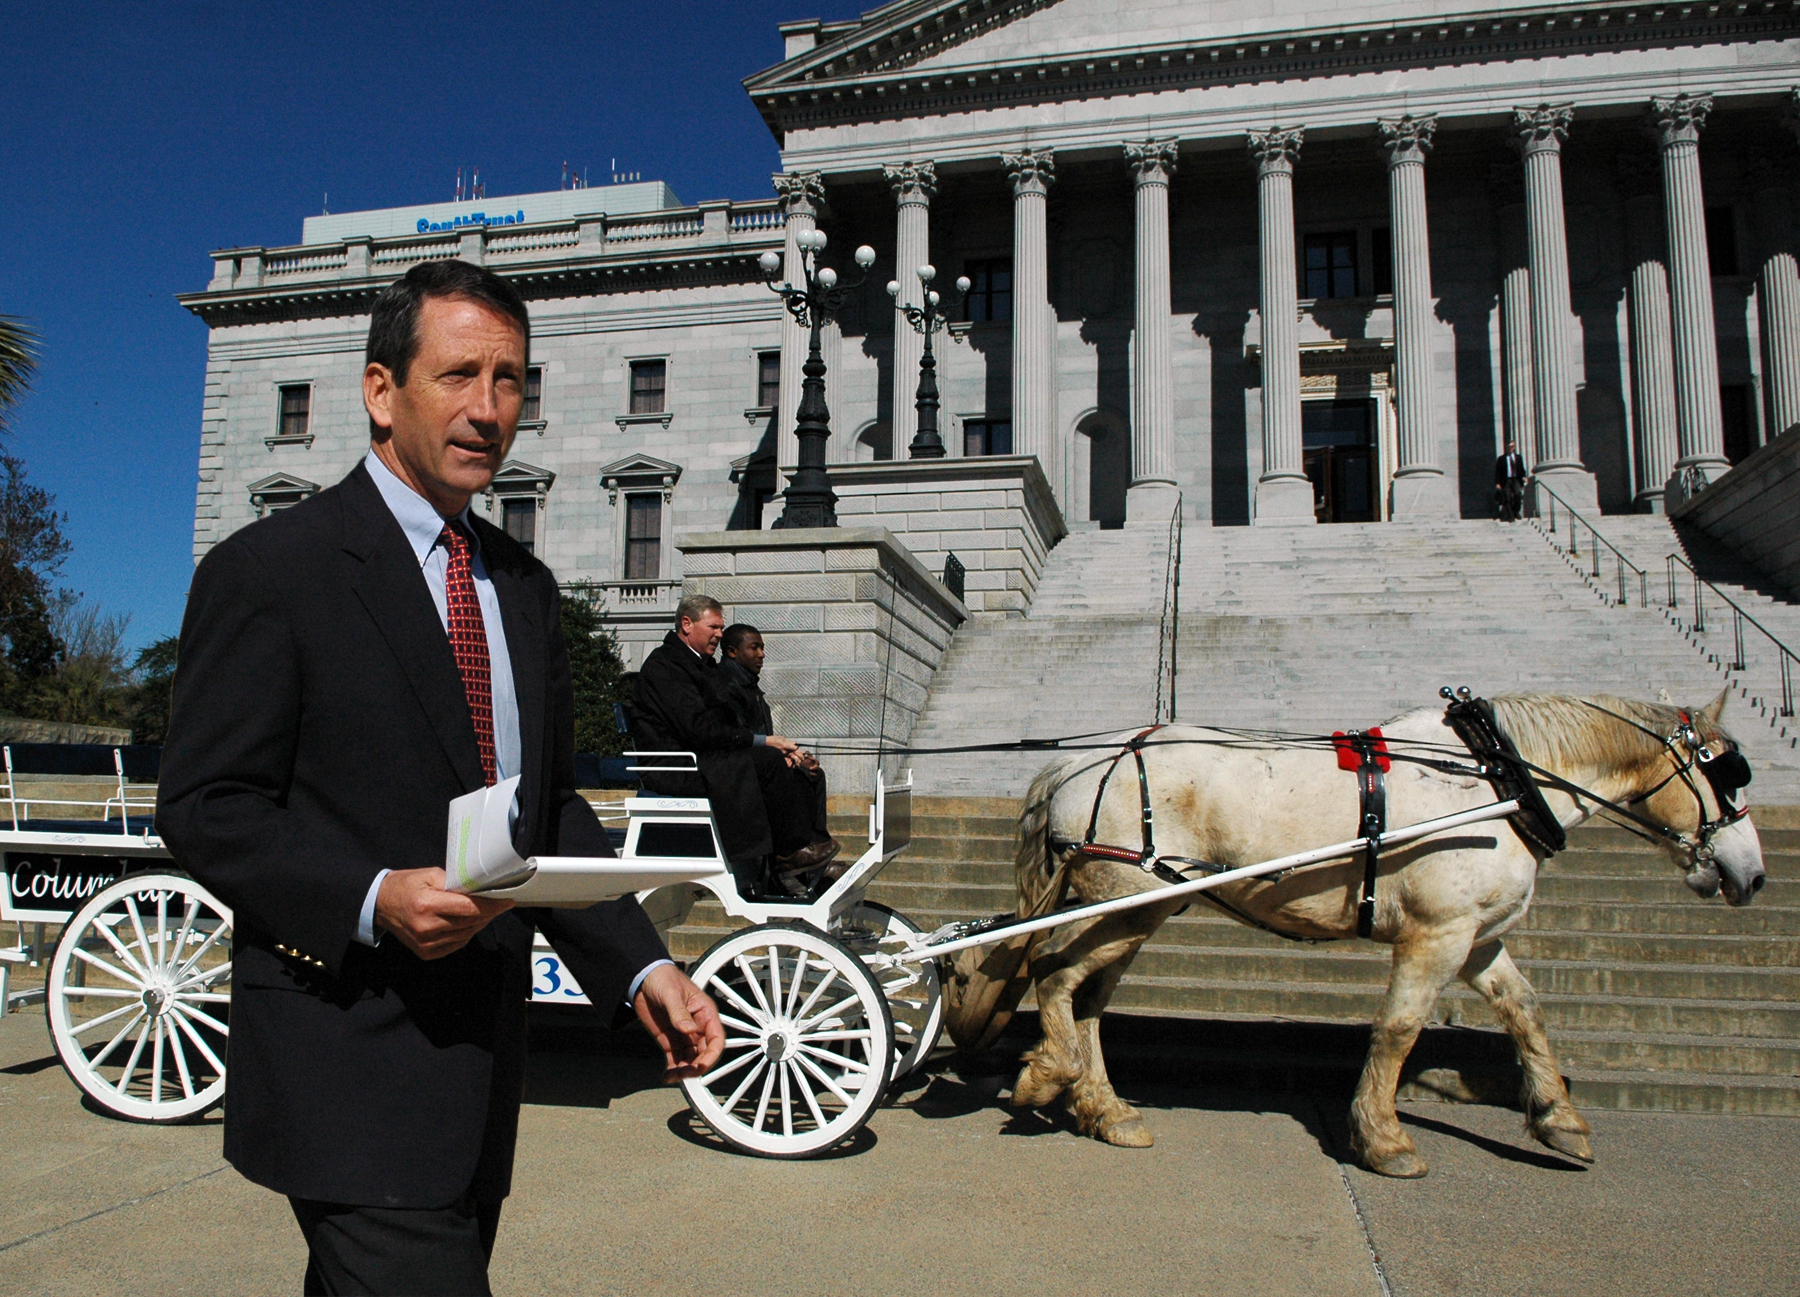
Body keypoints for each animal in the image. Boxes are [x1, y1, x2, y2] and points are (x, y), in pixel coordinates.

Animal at [950, 694, 1764, 1180]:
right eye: (1728, 775)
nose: (1752, 875)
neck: (1495, 780)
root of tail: (1078, 761)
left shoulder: (1476, 938)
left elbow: (1525, 1010)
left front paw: (1558, 1116)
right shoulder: (1436, 936)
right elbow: (1399, 1029)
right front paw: (1383, 1137)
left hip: (1139, 908)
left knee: (1085, 994)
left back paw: (1104, 1109)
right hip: (1125, 898)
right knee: (1055, 974)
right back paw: (1049, 1075)